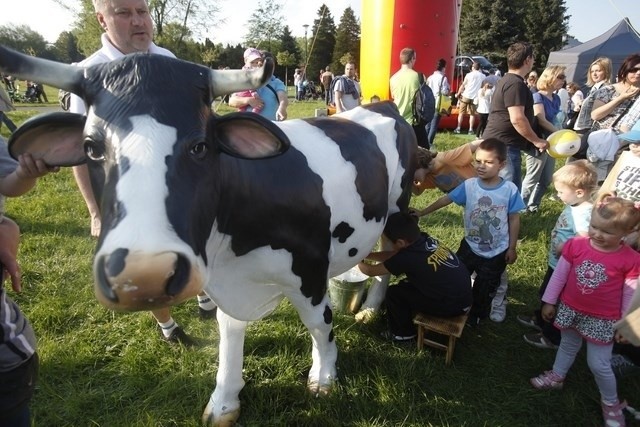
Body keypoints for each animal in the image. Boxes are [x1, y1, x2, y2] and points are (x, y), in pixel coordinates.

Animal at [0, 45, 418, 426]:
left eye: (201, 146)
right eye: (91, 148)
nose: (142, 276)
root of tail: (383, 106)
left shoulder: (310, 268)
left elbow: (319, 325)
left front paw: (324, 376)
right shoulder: (227, 279)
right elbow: (229, 332)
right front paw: (224, 400)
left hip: (397, 209)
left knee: (389, 258)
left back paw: (369, 308)